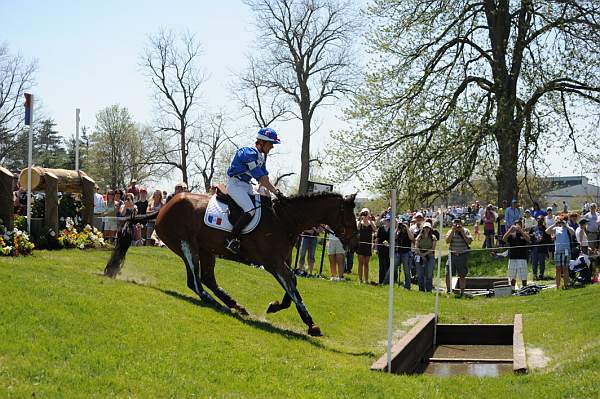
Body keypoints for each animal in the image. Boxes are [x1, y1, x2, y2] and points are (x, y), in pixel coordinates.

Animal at [104, 191, 356, 338]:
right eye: (347, 216)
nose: (354, 241)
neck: (285, 220)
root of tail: (163, 208)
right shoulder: (273, 263)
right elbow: (293, 288)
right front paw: (311, 324)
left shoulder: (281, 261)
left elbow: (292, 285)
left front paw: (275, 306)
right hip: (186, 245)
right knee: (195, 282)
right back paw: (219, 305)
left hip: (206, 250)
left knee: (207, 279)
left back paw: (235, 305)